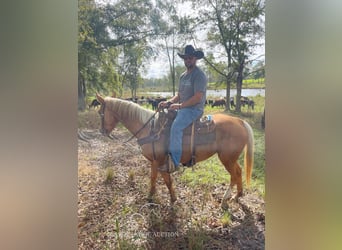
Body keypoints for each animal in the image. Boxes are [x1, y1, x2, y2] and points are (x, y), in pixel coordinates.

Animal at [96, 94, 254, 209]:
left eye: (100, 113)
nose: (102, 131)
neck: (151, 130)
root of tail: (240, 122)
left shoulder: (158, 161)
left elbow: (159, 179)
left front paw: (157, 197)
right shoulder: (157, 162)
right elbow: (161, 179)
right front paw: (167, 197)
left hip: (226, 158)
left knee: (234, 175)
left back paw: (225, 199)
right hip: (231, 158)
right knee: (239, 172)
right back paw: (238, 195)